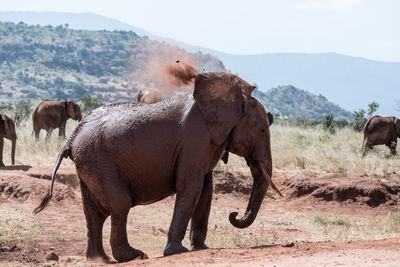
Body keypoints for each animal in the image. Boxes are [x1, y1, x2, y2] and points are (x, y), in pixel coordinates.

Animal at [35, 69, 282, 264]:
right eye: (262, 130)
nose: (234, 213)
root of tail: (73, 137)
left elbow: (206, 191)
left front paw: (201, 248)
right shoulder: (195, 140)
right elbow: (191, 188)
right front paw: (177, 251)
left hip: (88, 164)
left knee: (94, 214)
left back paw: (100, 260)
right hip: (99, 163)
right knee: (120, 205)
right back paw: (133, 256)